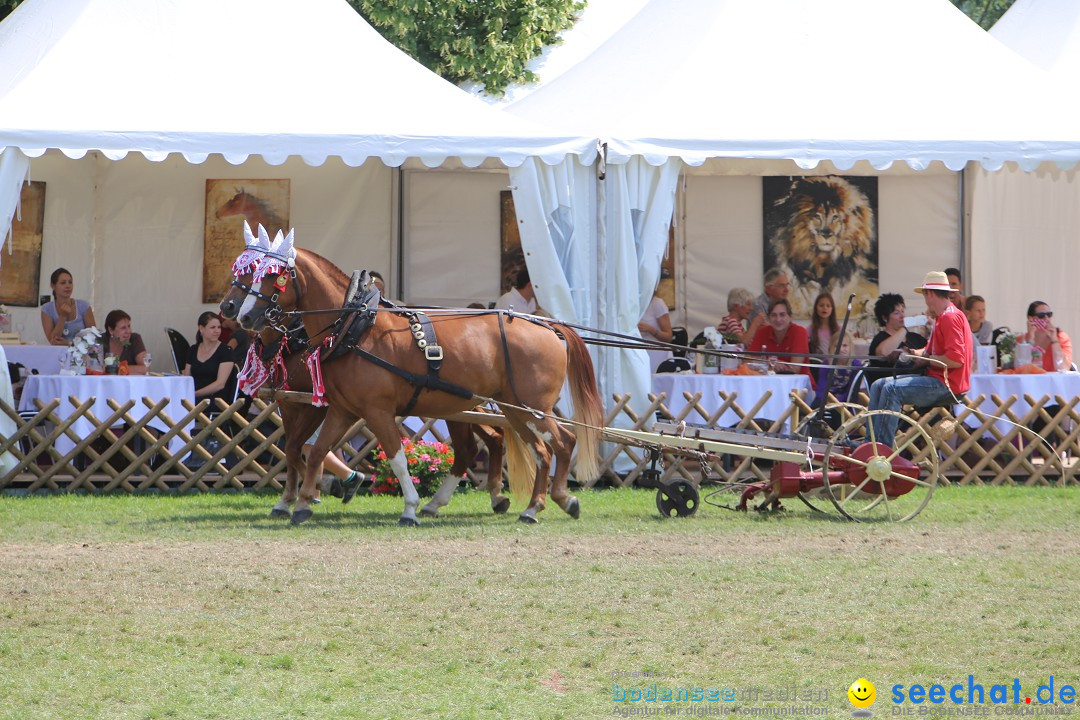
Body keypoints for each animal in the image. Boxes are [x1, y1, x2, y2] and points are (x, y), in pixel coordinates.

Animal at [248, 321, 509, 518]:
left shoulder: (314, 406)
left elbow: (296, 450)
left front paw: (323, 488)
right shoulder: (290, 403)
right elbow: (293, 451)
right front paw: (292, 499)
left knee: (478, 444)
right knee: (486, 441)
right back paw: (494, 496)